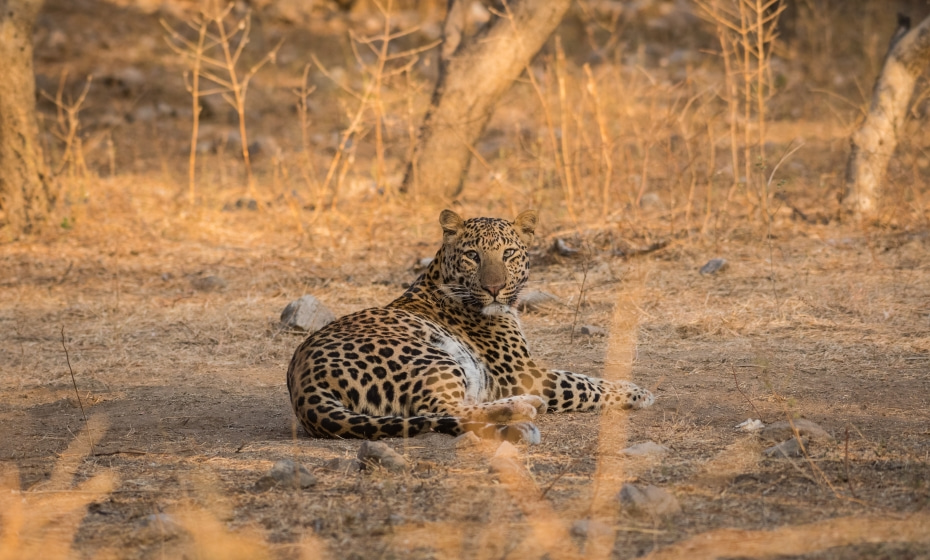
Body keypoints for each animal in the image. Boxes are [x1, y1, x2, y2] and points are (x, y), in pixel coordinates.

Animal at [282, 208, 652, 444]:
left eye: (508, 254)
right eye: (473, 255)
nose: (494, 288)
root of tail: (302, 387)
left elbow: (582, 376)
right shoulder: (524, 372)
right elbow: (582, 382)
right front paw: (636, 393)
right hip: (431, 358)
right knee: (448, 409)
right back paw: (522, 407)